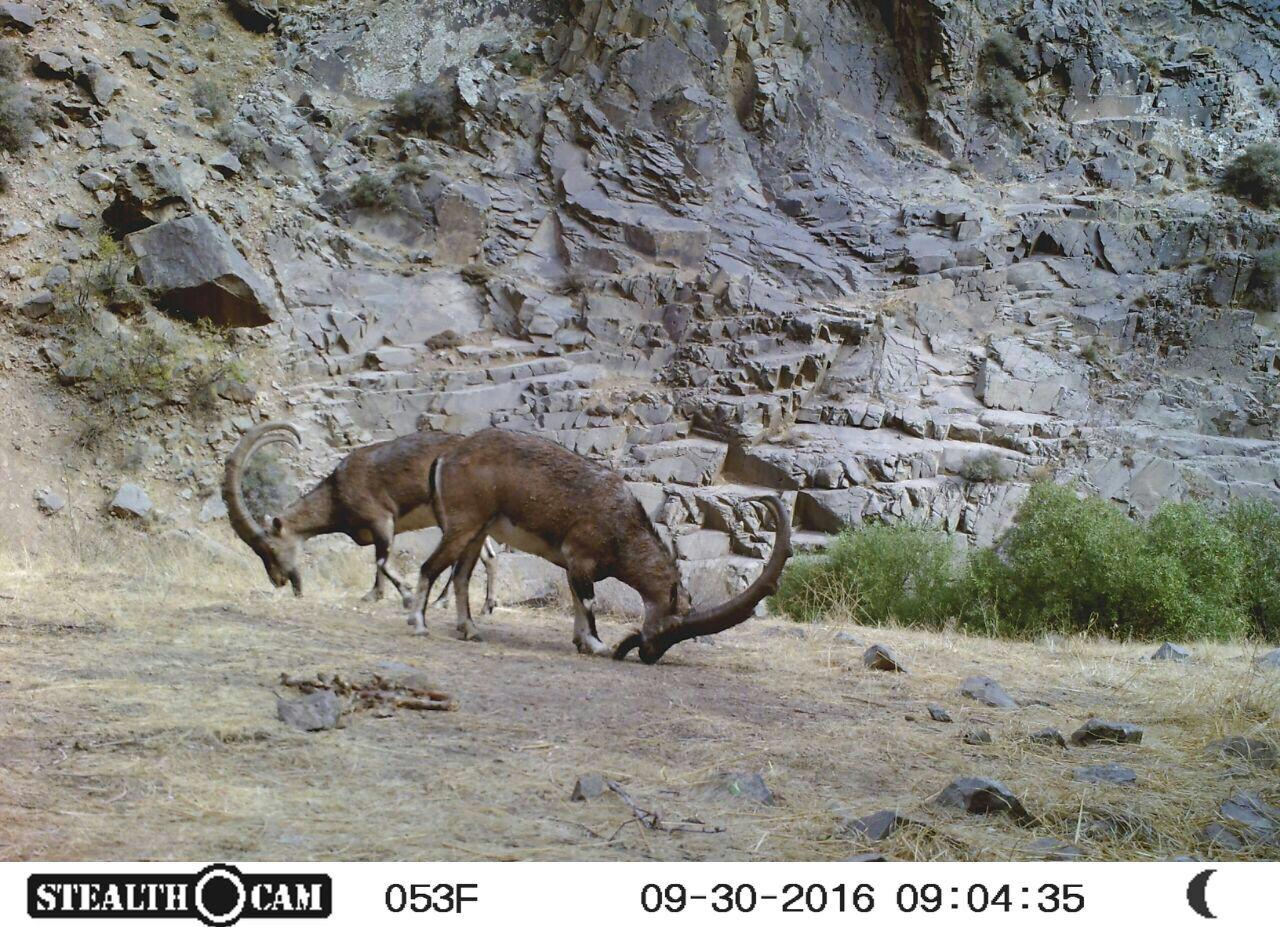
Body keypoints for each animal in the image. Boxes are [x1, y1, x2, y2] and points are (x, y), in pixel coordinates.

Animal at [222, 422, 497, 609]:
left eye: (269, 548)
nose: (278, 581)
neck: (335, 495)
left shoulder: (381, 519)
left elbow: (381, 561)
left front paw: (405, 595)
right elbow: (378, 561)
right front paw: (375, 595)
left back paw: (442, 600)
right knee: (488, 555)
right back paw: (486, 604)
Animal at [408, 428, 790, 663]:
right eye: (671, 627)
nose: (649, 655)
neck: (623, 528)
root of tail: (446, 458)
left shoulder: (574, 566)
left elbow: (579, 602)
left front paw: (582, 643)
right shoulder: (580, 558)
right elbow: (588, 602)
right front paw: (598, 644)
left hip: (477, 531)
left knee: (460, 576)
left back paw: (471, 631)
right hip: (463, 524)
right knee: (430, 567)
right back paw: (419, 624)